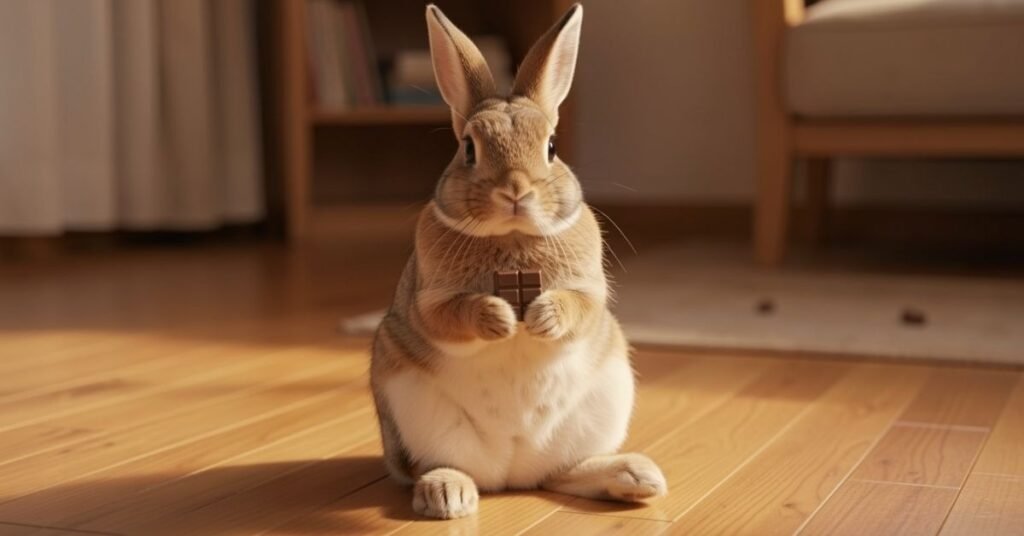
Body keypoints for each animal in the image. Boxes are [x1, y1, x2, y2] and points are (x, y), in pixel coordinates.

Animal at [370, 3, 667, 520]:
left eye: (551, 146)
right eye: (468, 148)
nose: (515, 191)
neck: (511, 236)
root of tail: (512, 473)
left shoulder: (589, 287)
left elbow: (581, 306)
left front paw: (542, 316)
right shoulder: (430, 298)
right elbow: (448, 314)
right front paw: (501, 319)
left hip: (604, 401)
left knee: (563, 473)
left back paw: (636, 478)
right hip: (412, 409)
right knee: (441, 465)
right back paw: (447, 495)